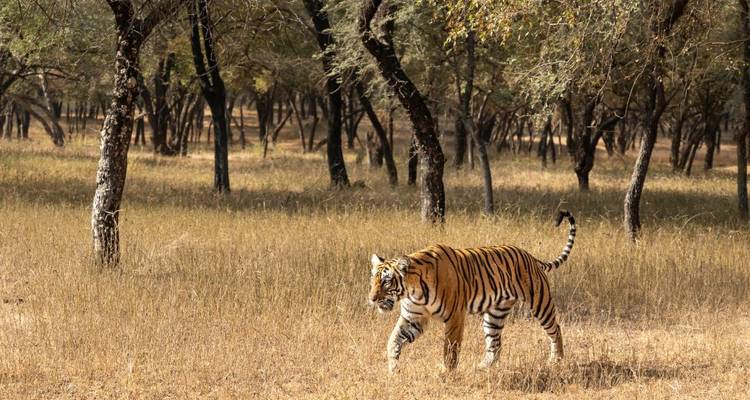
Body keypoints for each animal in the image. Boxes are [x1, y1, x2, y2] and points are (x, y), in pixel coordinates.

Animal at [368, 210, 576, 373]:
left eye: (386, 282)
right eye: (373, 280)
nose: (371, 299)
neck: (413, 290)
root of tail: (531, 256)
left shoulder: (454, 317)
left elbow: (450, 349)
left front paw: (446, 373)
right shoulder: (413, 318)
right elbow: (393, 340)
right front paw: (393, 370)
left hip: (540, 302)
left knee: (556, 329)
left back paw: (556, 360)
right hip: (494, 315)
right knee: (495, 345)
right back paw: (481, 367)